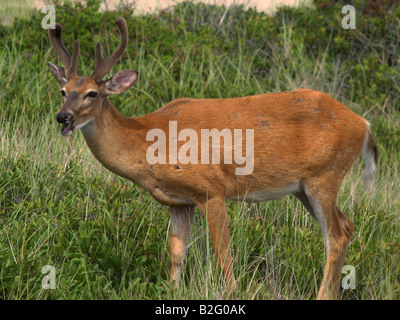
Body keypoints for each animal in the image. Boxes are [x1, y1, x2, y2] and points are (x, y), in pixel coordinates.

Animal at [47, 16, 378, 300]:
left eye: (92, 93)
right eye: (63, 90)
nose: (63, 117)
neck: (149, 142)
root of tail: (363, 125)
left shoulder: (213, 189)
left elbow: (223, 254)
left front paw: (230, 293)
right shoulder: (178, 202)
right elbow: (176, 254)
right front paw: (172, 291)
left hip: (325, 174)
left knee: (336, 233)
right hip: (302, 187)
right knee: (344, 226)